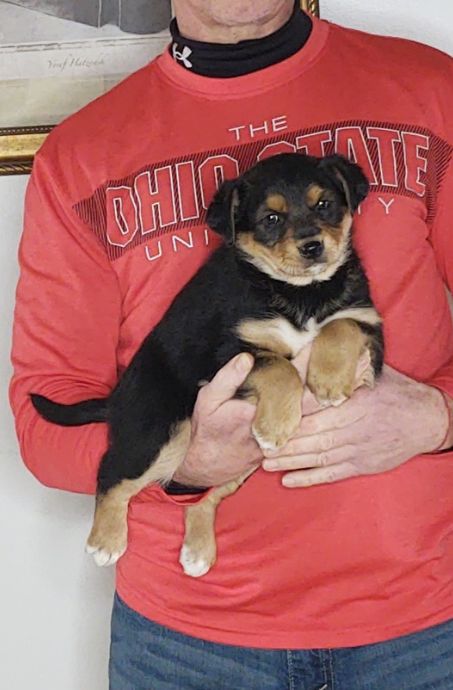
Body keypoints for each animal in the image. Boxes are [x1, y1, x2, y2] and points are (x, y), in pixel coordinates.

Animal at [30, 152, 382, 576]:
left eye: (324, 204)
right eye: (271, 219)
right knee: (113, 471)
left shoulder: (370, 329)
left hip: (243, 462)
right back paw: (106, 541)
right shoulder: (227, 353)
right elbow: (279, 368)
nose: (312, 247)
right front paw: (277, 424)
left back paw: (197, 551)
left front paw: (329, 382)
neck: (302, 293)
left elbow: (341, 325)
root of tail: (115, 400)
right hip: (163, 430)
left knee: (204, 498)